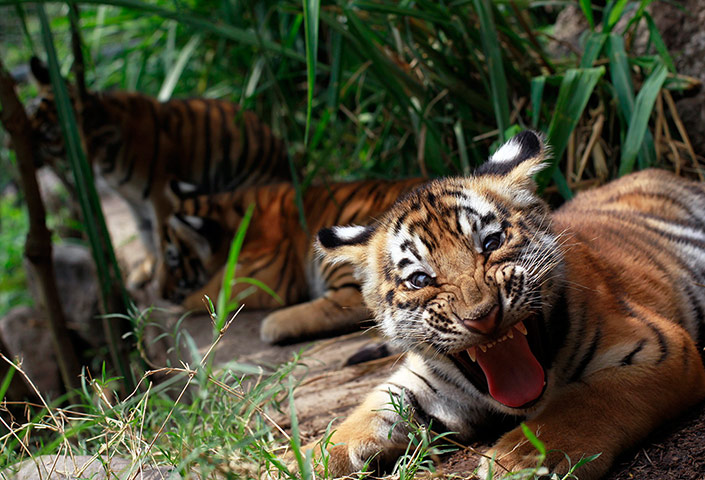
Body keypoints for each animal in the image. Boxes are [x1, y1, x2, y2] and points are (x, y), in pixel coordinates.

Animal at [26, 57, 290, 287]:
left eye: (47, 134)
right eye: (30, 117)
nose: (17, 149)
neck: (104, 156)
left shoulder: (159, 192)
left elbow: (160, 233)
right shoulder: (132, 198)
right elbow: (145, 233)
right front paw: (144, 271)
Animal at [158, 177, 424, 343]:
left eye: (173, 260)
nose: (161, 294)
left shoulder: (265, 277)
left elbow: (209, 292)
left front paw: (179, 306)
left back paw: (273, 325)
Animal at [312, 130, 705, 479]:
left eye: (491, 243)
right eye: (420, 280)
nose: (482, 317)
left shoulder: (659, 349)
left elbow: (582, 401)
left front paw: (522, 459)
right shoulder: (423, 383)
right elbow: (367, 413)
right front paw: (312, 457)